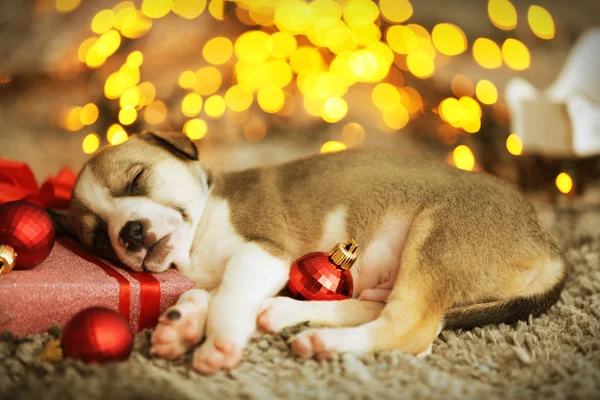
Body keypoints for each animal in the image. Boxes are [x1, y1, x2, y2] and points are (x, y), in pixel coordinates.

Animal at [65, 131, 568, 376]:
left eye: (136, 180)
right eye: (97, 239)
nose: (129, 232)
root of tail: (547, 243)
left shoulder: (261, 256)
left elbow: (227, 301)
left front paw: (217, 343)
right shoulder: (244, 271)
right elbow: (209, 295)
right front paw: (182, 323)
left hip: (437, 240)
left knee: (412, 331)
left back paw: (325, 343)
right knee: (383, 311)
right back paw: (283, 314)